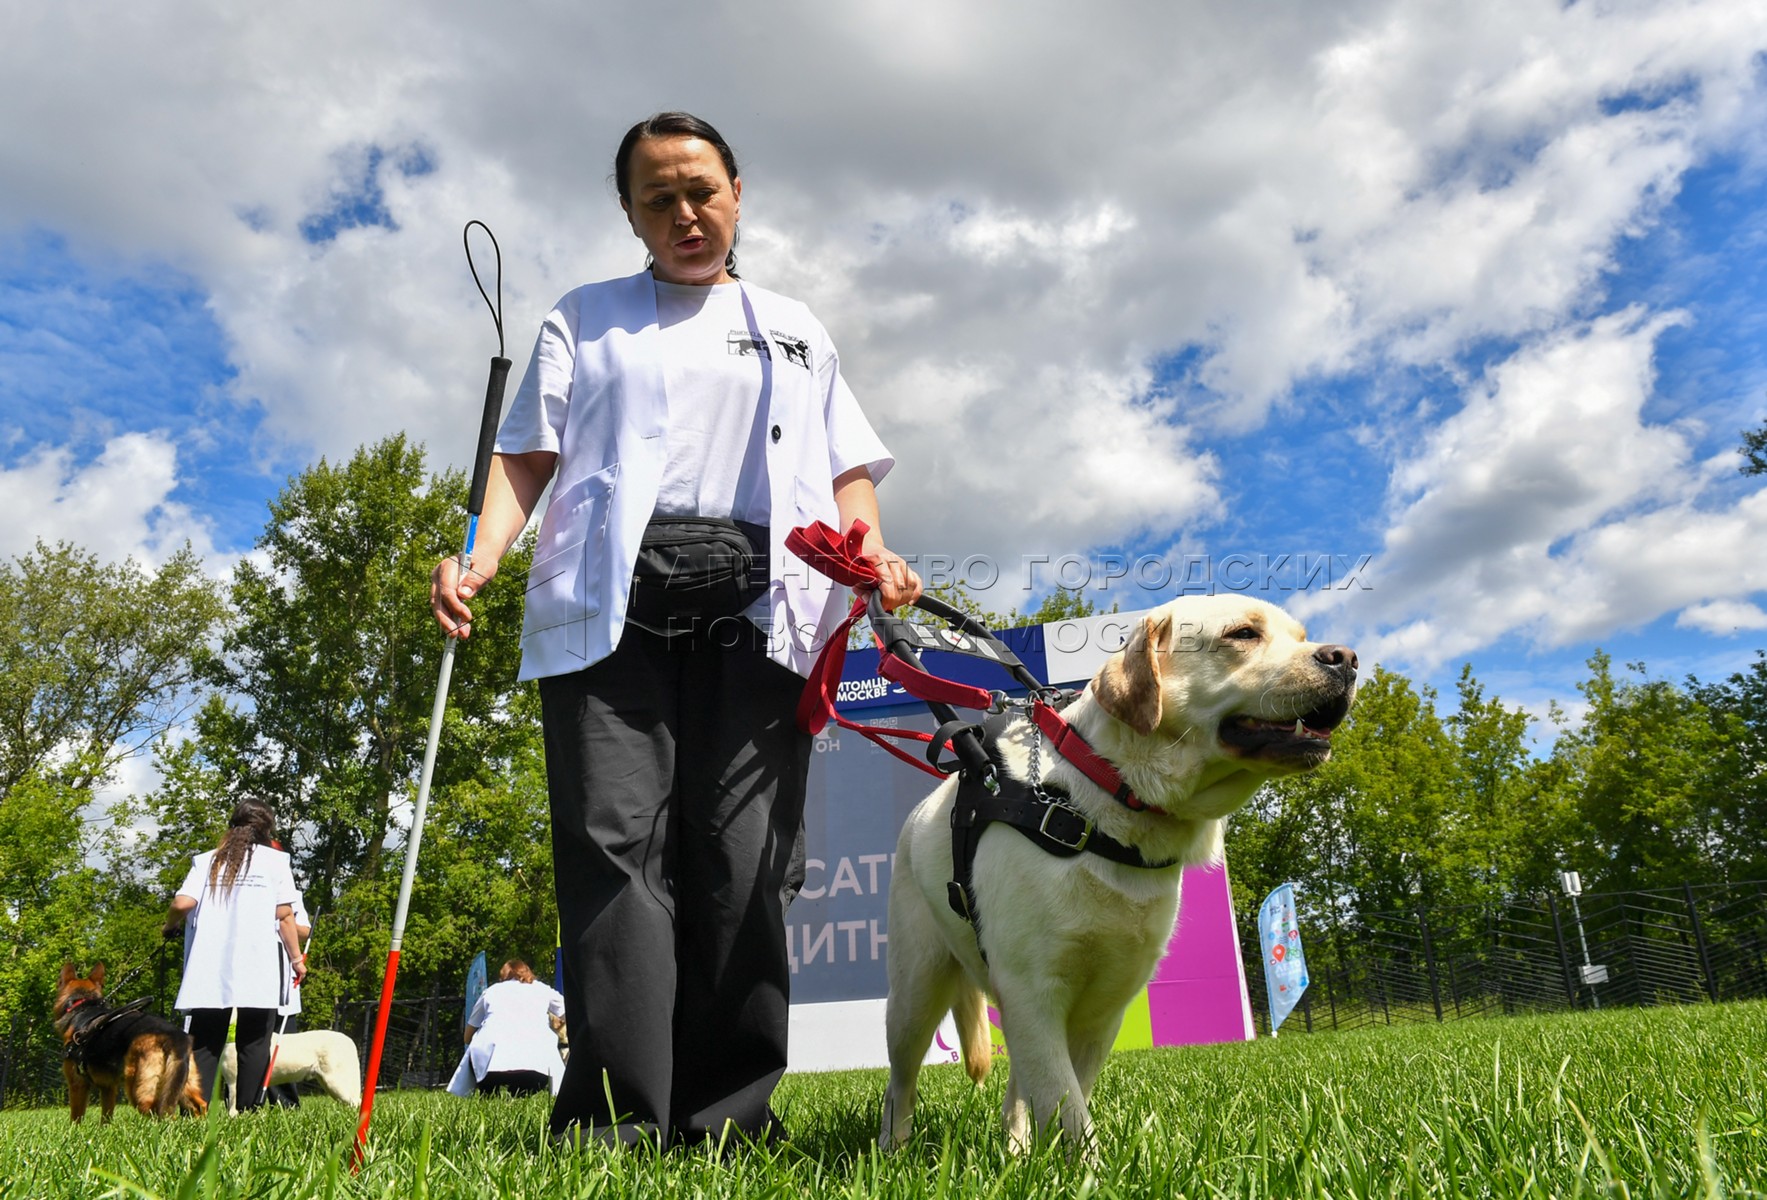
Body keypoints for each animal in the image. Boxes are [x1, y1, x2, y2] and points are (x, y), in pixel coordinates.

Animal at [876, 597, 1357, 1152]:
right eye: (1242, 634)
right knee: (900, 1081)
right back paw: (892, 1149)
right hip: (915, 991)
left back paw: (1015, 1152)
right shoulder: (1032, 991)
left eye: (1301, 635)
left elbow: (1066, 1096)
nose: (1347, 659)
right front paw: (1085, 1166)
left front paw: (1051, 1160)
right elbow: (1066, 1107)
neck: (1107, 796)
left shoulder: (1103, 1006)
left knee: (1015, 1090)